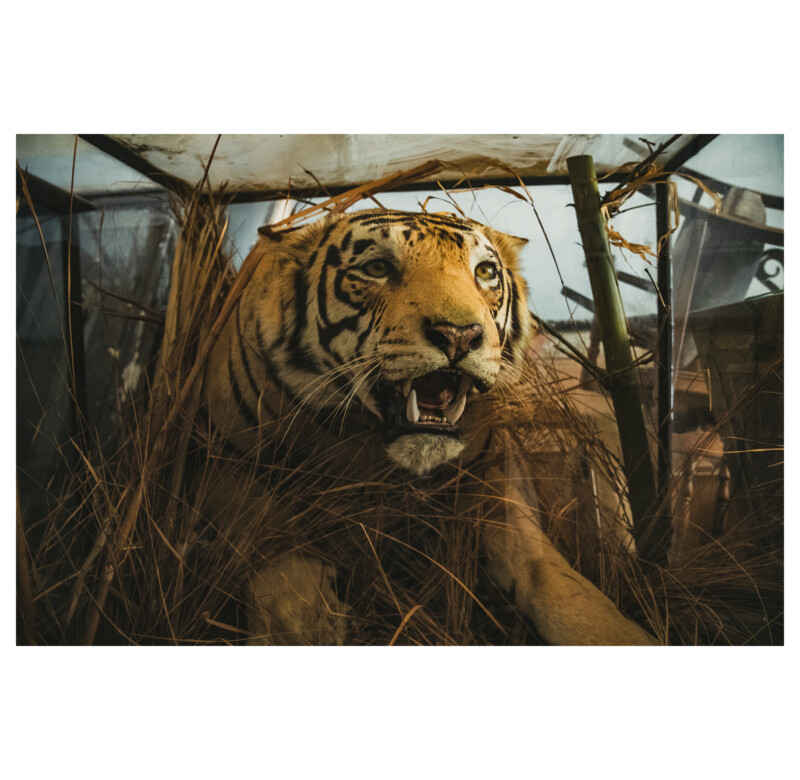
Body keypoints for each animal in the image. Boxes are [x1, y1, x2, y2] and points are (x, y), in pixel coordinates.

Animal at [203, 208, 658, 645]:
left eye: (485, 272)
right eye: (377, 268)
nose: (460, 335)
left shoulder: (497, 485)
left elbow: (561, 585)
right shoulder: (236, 471)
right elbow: (280, 573)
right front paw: (310, 626)